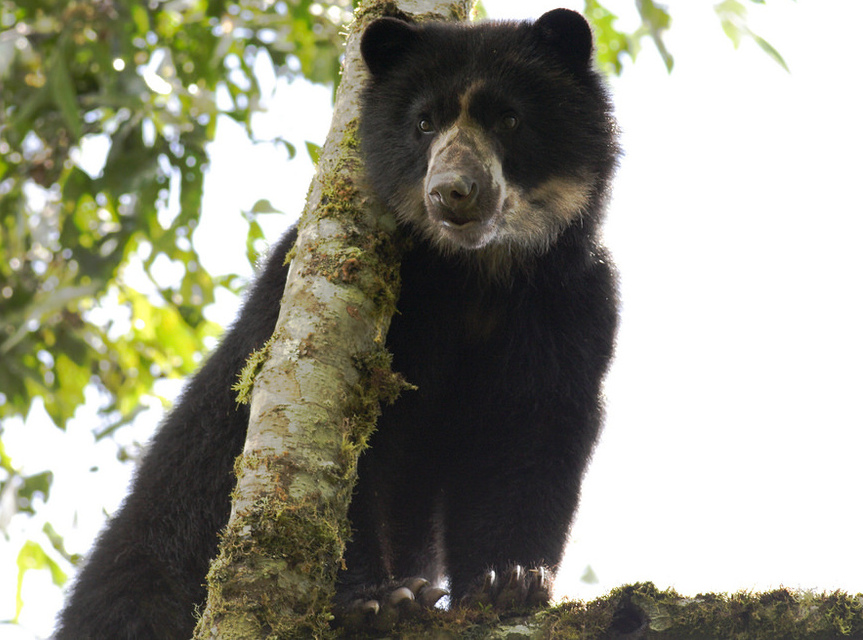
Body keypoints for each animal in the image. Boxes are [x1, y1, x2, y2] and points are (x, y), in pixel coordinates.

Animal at [54, 7, 618, 638]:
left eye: (510, 119)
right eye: (424, 123)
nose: (453, 192)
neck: (473, 274)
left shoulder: (571, 302)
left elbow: (531, 429)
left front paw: (509, 581)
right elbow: (345, 459)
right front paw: (378, 599)